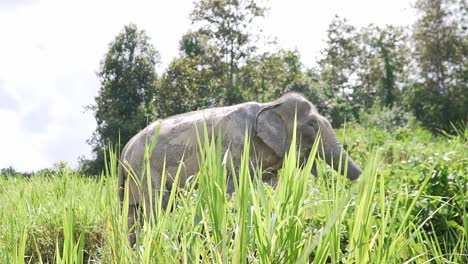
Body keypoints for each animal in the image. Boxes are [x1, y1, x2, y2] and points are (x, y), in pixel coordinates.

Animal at [118, 92, 362, 245]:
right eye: (312, 125)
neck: (269, 104)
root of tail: (124, 151)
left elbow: (272, 186)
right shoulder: (235, 150)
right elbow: (232, 192)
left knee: (132, 213)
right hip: (145, 171)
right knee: (155, 207)